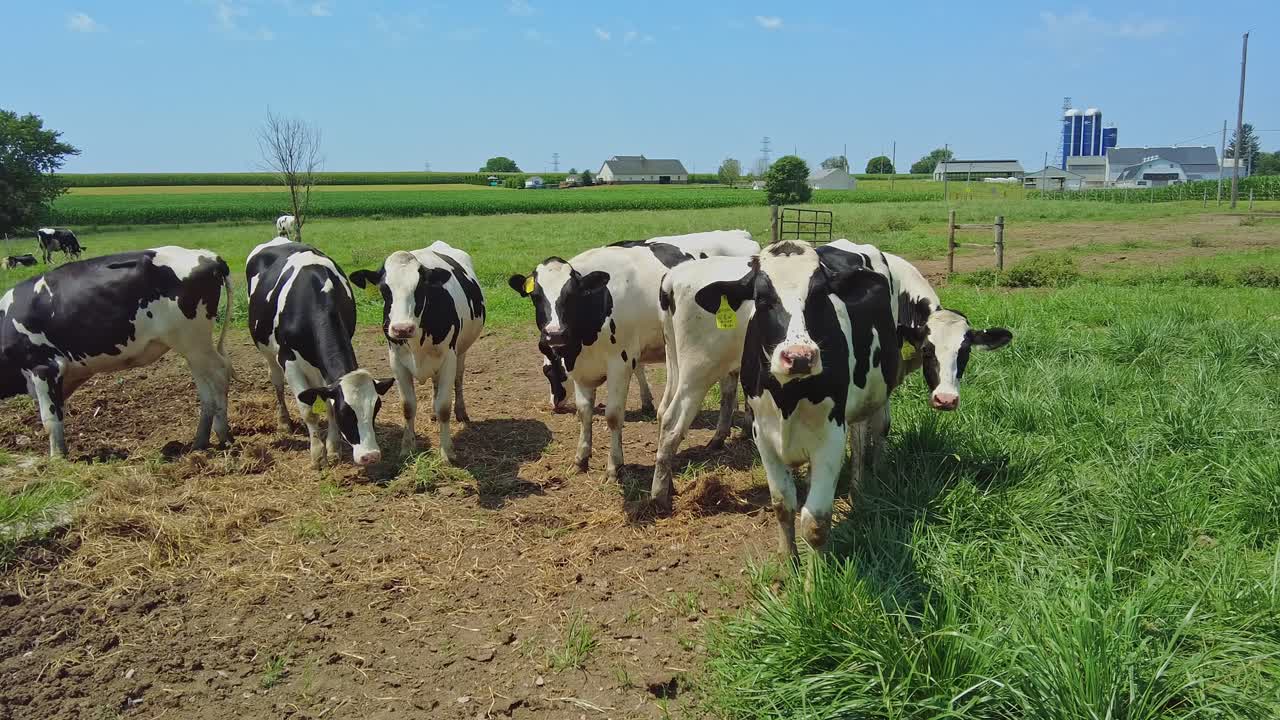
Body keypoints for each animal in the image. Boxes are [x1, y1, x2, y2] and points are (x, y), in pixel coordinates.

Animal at [0, 247, 234, 457]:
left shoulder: (44, 367)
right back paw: (200, 442)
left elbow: (50, 419)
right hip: (192, 347)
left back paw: (224, 436)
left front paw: (57, 459)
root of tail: (208, 256)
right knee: (206, 390)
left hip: (194, 341)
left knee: (221, 373)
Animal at [247, 237, 392, 468]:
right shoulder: (288, 360)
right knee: (276, 381)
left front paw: (332, 450)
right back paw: (284, 422)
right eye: (346, 413)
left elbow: (327, 403)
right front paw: (317, 454)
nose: (371, 456)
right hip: (268, 352)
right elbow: (307, 409)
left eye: (376, 409)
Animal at [349, 241, 485, 463]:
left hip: (461, 351)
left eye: (421, 287)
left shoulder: (448, 358)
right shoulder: (396, 362)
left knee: (458, 379)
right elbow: (408, 407)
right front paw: (407, 447)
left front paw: (447, 451)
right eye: (384, 289)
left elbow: (444, 407)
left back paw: (461, 411)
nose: (402, 329)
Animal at [736, 241, 900, 558]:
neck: (787, 398)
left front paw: (818, 572)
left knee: (871, 434)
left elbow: (816, 523)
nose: (799, 357)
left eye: (820, 295)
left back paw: (868, 483)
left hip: (876, 392)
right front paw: (788, 560)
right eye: (761, 298)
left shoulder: (831, 436)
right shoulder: (763, 436)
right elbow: (782, 505)